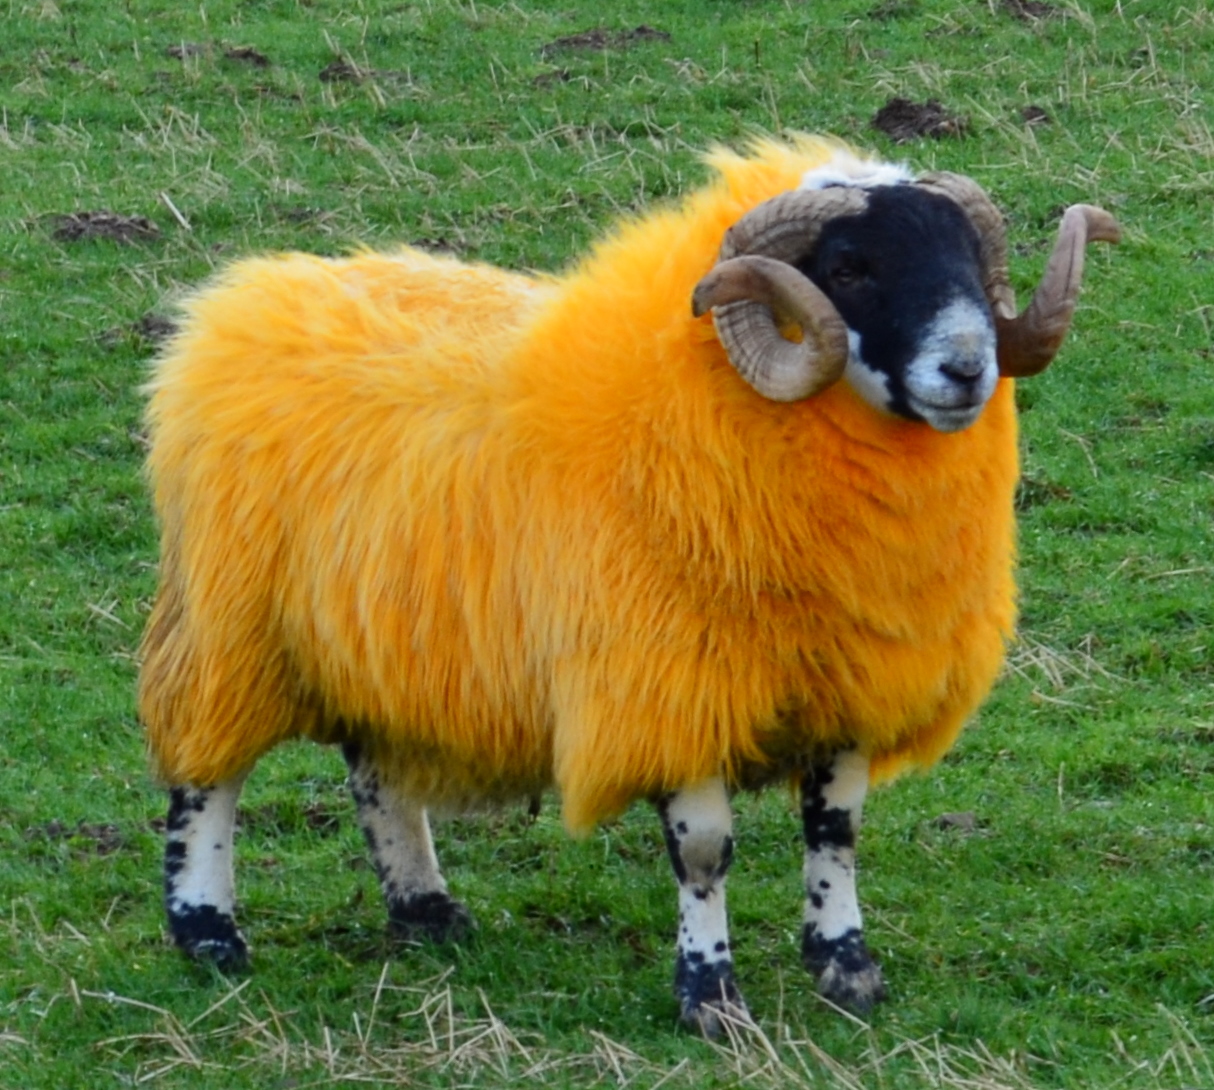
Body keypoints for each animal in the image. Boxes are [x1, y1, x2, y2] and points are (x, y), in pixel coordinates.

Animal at [138, 135, 1119, 1035]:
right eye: (849, 268)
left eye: (967, 260)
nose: (967, 370)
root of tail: (246, 298)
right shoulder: (668, 685)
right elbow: (706, 853)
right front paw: (711, 999)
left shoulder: (845, 682)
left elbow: (834, 832)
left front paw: (848, 971)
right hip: (231, 624)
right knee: (206, 774)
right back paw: (209, 934)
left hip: (383, 632)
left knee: (375, 770)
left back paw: (427, 911)